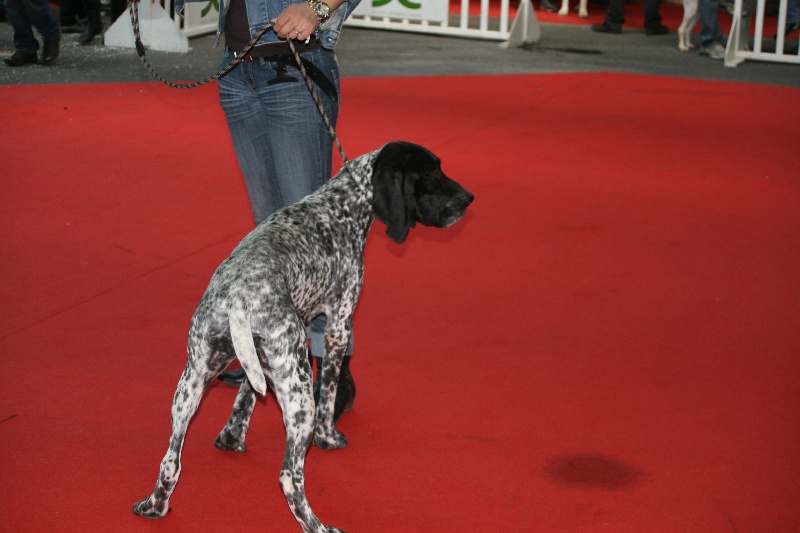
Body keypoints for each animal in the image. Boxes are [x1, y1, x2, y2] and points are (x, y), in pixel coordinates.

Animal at [133, 141, 476, 532]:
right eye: (430, 172)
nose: (468, 198)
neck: (341, 205)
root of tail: (238, 298)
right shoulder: (338, 326)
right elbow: (328, 393)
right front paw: (328, 437)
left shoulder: (258, 361)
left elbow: (244, 397)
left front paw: (232, 437)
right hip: (298, 394)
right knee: (289, 476)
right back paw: (319, 526)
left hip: (191, 383)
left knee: (170, 461)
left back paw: (154, 506)